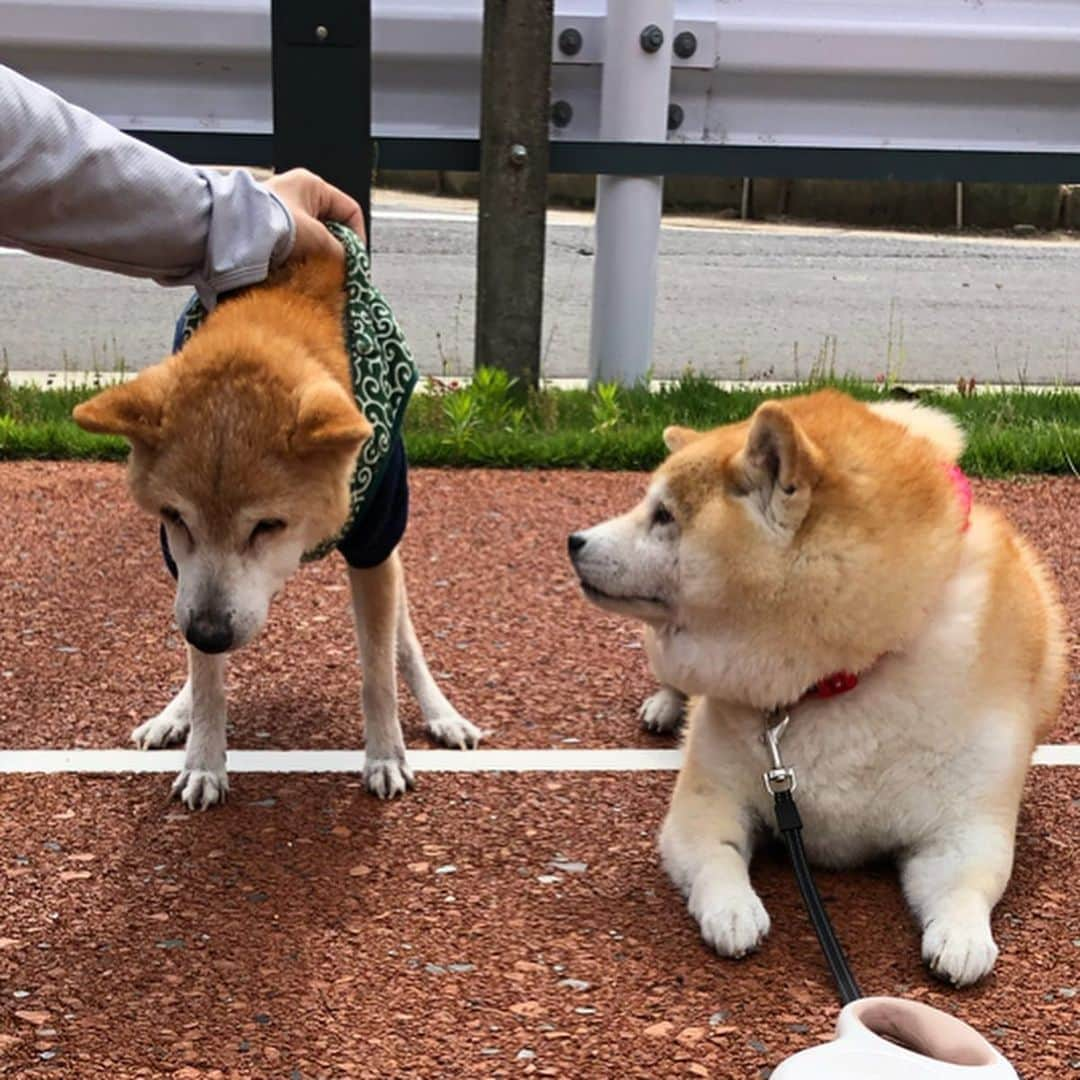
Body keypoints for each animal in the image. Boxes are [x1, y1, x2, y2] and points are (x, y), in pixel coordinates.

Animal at [73, 225, 479, 812]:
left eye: (268, 524)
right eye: (175, 517)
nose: (211, 633)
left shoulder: (375, 544)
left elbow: (378, 673)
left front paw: (385, 755)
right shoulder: (184, 573)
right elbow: (206, 681)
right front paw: (204, 760)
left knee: (403, 643)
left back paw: (440, 712)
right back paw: (175, 713)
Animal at [570, 390, 1067, 989]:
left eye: (664, 515)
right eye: (650, 505)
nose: (573, 540)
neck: (838, 680)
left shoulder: (965, 827)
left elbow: (966, 883)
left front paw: (963, 937)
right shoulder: (707, 802)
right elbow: (716, 858)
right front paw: (733, 910)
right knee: (670, 682)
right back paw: (665, 707)